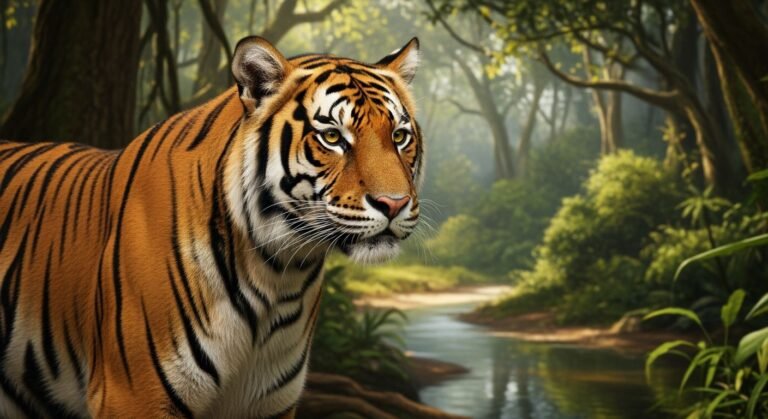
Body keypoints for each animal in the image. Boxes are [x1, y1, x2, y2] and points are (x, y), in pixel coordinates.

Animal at [0, 36, 422, 418]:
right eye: (332, 137)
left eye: (399, 136)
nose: (394, 203)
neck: (278, 275)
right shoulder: (133, 395)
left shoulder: (270, 404)